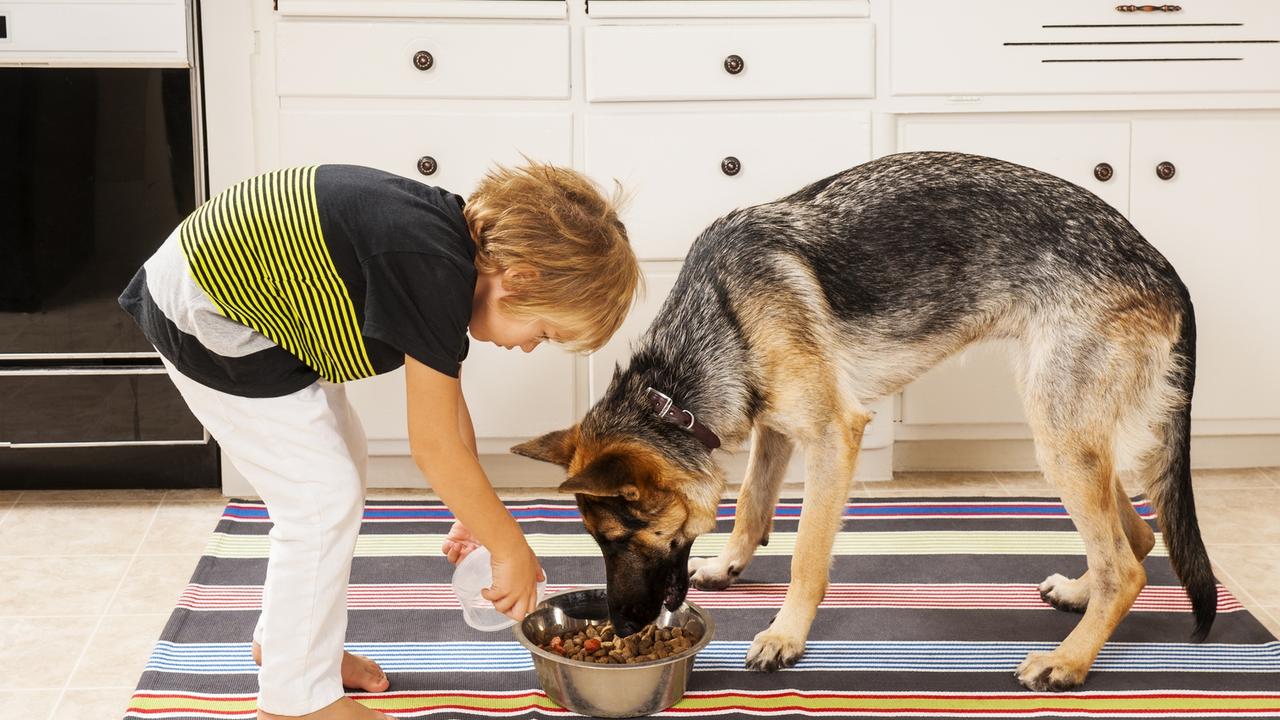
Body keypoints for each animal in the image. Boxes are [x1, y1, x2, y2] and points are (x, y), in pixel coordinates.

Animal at [512, 149, 1218, 691]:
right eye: (599, 542)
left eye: (619, 539)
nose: (624, 628)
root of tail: (1164, 267)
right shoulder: (774, 426)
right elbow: (751, 507)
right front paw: (730, 565)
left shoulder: (832, 435)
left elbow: (806, 554)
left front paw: (786, 635)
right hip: (1066, 434)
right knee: (1138, 535)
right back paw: (1077, 595)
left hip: (1058, 435)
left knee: (1126, 567)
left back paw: (1069, 661)